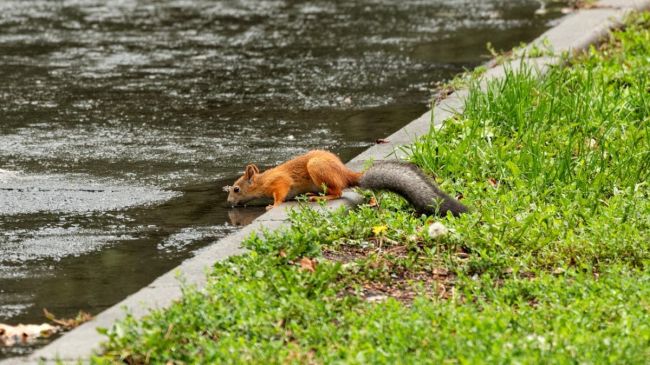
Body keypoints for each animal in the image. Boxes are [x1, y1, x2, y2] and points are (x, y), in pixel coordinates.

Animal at [224, 149, 466, 216]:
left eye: (236, 188)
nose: (229, 203)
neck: (263, 180)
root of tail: (346, 174)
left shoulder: (280, 182)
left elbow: (280, 194)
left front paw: (271, 205)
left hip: (318, 169)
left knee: (339, 191)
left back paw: (318, 196)